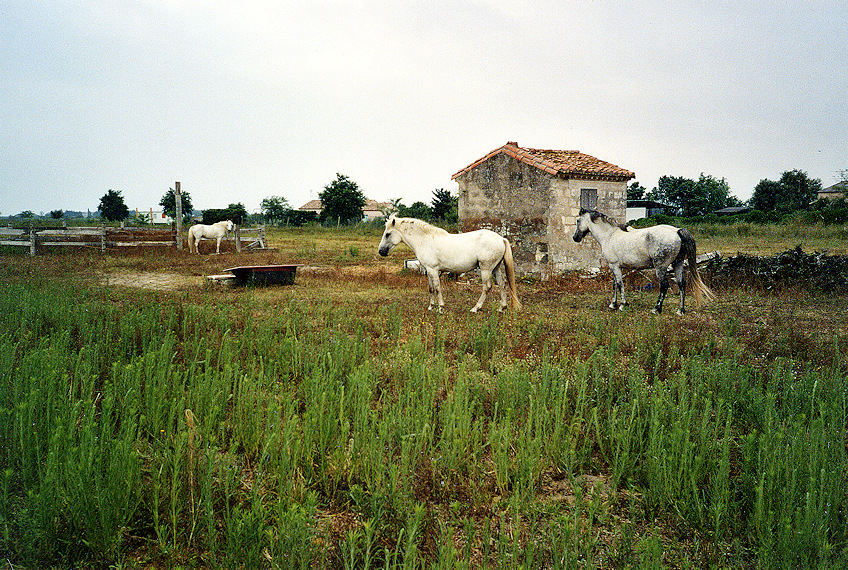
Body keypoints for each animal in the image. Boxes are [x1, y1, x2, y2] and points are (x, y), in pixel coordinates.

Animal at [380, 214, 524, 312]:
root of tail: (501, 238)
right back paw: (502, 308)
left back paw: (475, 308)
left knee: (487, 287)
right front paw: (431, 306)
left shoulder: (433, 269)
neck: (425, 240)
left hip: (486, 269)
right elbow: (431, 288)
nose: (381, 251)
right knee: (502, 284)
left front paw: (441, 308)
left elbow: (437, 288)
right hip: (495, 268)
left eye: (387, 234)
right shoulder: (429, 270)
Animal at [568, 209, 716, 316]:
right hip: (678, 264)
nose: (575, 237)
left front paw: (622, 305)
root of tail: (676, 231)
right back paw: (680, 310)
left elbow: (619, 285)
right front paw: (613, 304)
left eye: (578, 220)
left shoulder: (614, 266)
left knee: (664, 285)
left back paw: (656, 309)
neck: (609, 236)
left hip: (661, 267)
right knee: (681, 284)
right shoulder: (615, 267)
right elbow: (615, 284)